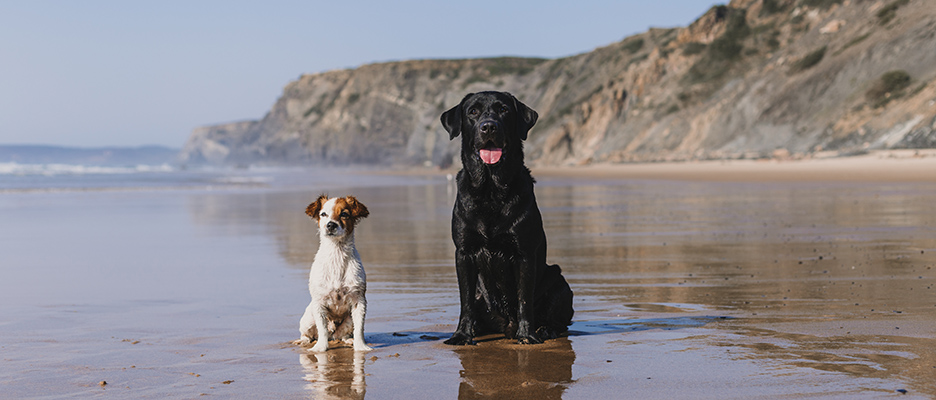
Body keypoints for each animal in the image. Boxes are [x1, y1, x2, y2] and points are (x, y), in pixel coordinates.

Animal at [294, 195, 372, 352]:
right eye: (323, 214)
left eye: (344, 214)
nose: (331, 225)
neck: (337, 253)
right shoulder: (319, 303)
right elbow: (322, 330)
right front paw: (320, 348)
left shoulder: (359, 301)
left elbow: (360, 329)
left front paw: (361, 347)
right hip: (307, 319)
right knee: (309, 334)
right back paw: (304, 341)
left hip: (349, 320)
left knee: (343, 334)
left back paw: (348, 340)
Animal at [442, 92, 576, 346]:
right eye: (472, 111)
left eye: (503, 110)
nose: (488, 126)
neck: (490, 189)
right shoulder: (463, 253)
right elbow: (465, 300)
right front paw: (462, 334)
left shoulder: (524, 253)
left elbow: (524, 299)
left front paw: (527, 335)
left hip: (558, 280)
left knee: (559, 320)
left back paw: (544, 329)